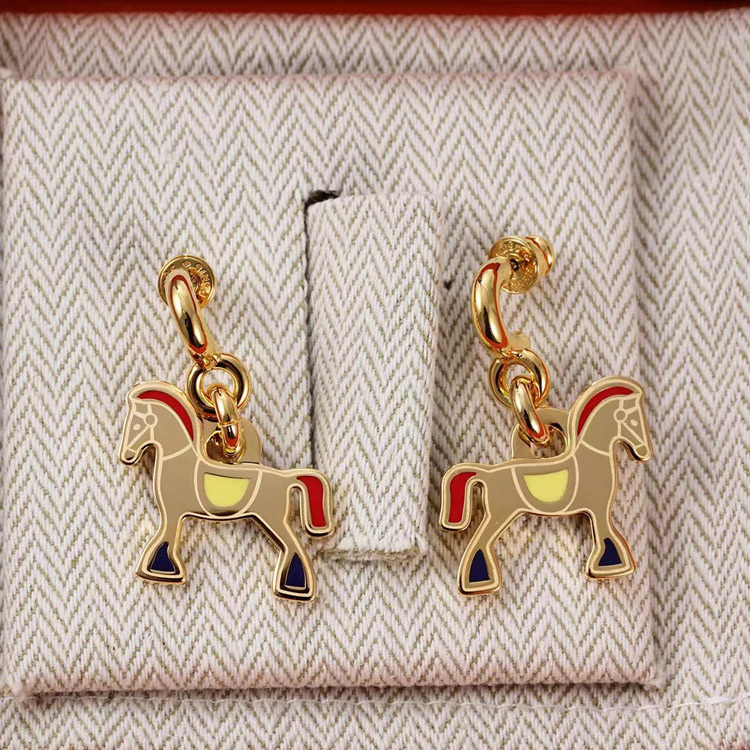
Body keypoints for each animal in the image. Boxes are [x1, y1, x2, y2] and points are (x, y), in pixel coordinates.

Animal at [119, 381, 333, 600]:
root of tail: (285, 478)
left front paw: (159, 570)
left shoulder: (172, 513)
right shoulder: (173, 514)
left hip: (272, 519)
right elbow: (165, 538)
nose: (126, 456)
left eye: (137, 425)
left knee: (293, 546)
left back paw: (293, 587)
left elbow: (165, 538)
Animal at [440, 376, 652, 596]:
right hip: (500, 514)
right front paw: (612, 565)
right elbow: (607, 534)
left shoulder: (598, 510)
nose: (644, 452)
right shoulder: (599, 508)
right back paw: (479, 583)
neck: (590, 455)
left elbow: (606, 533)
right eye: (634, 420)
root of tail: (488, 473)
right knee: (479, 541)